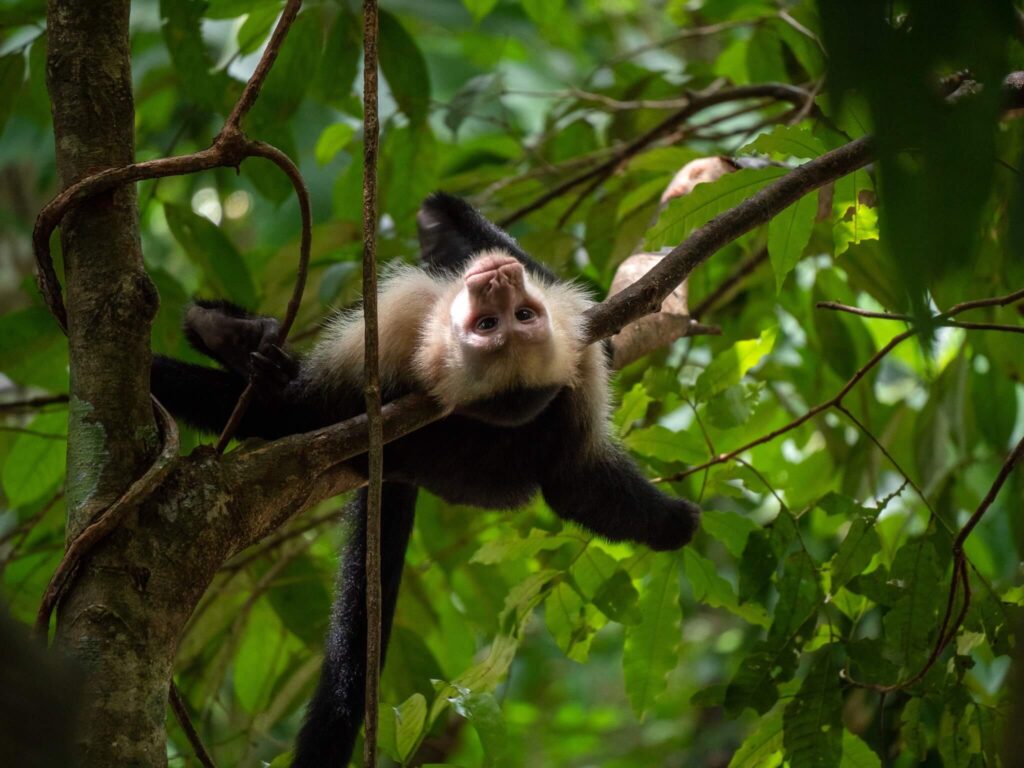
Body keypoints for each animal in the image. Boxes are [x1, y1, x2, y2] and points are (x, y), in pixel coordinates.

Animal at [148, 192, 700, 768]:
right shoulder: (573, 368)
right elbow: (574, 480)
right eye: (506, 318)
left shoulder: (400, 348)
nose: (497, 281)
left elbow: (291, 416)